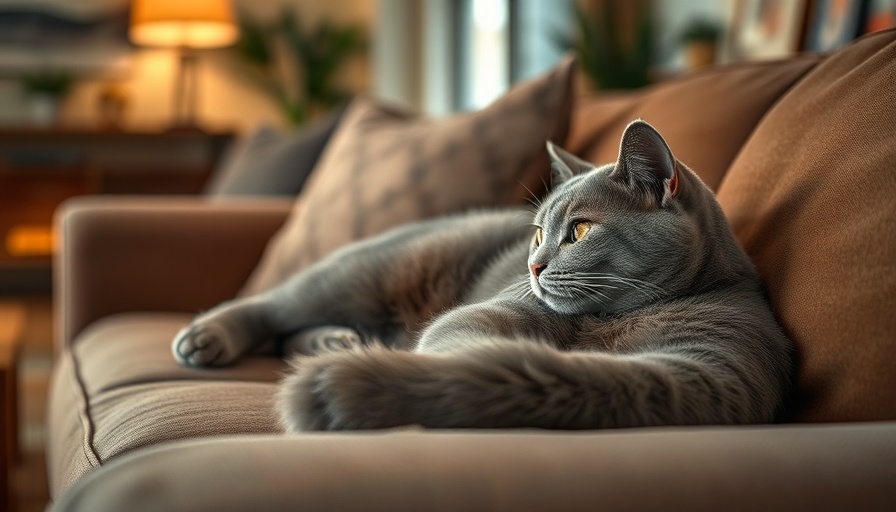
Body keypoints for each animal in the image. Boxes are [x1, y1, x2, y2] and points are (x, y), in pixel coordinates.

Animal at [173, 120, 792, 432]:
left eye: (581, 230)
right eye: (538, 234)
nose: (532, 265)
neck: (605, 321)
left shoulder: (711, 372)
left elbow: (596, 382)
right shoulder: (485, 312)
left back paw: (339, 343)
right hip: (364, 269)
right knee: (275, 305)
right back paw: (206, 338)